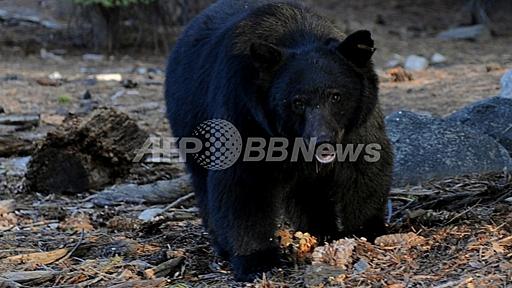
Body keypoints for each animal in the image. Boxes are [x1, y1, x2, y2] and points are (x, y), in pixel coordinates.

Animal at [164, 0, 392, 280]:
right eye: (297, 102)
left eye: (336, 96)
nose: (322, 142)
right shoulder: (244, 111)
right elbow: (243, 184)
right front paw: (256, 261)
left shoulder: (358, 123)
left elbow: (364, 168)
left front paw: (366, 231)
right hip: (190, 122)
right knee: (203, 182)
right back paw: (223, 245)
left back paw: (320, 231)